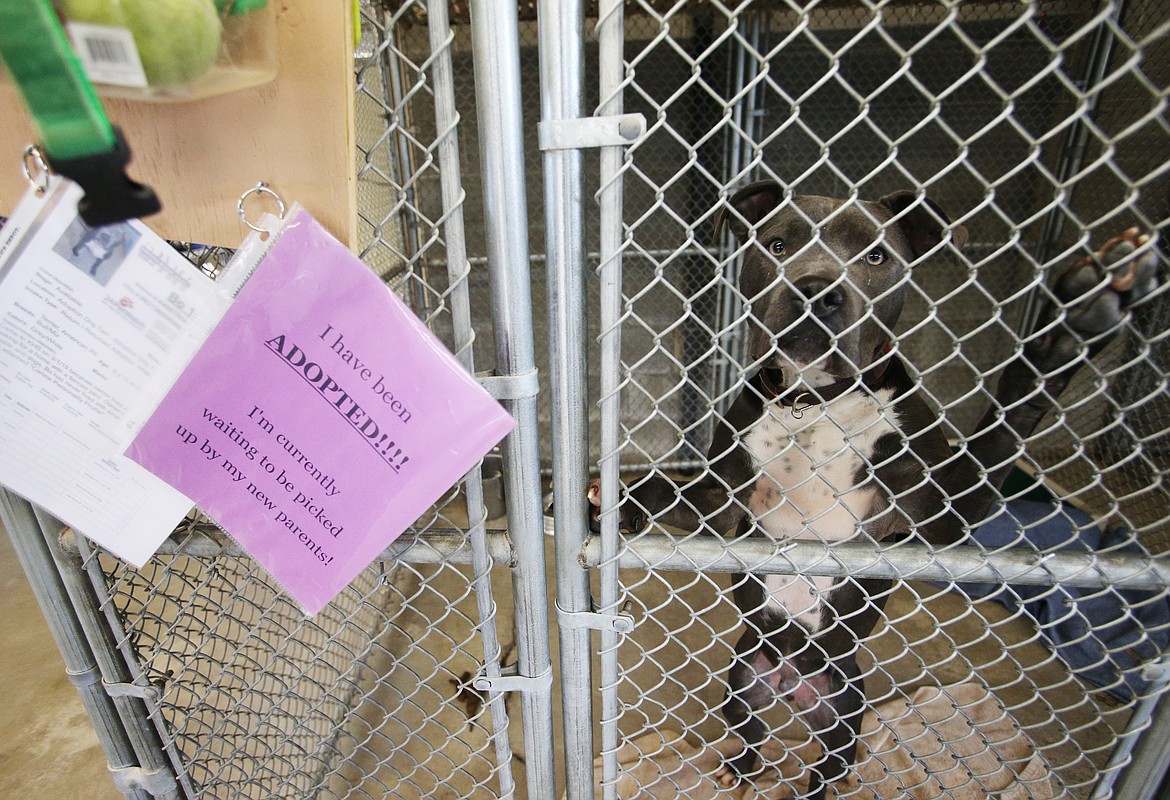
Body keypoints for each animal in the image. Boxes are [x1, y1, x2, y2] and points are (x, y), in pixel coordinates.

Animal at [585, 181, 1160, 799]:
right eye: (778, 243)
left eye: (877, 256)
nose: (817, 290)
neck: (813, 400)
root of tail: (792, 681)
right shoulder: (722, 501)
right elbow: (672, 494)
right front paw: (610, 504)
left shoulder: (939, 521)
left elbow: (998, 433)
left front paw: (1071, 329)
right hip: (743, 679)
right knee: (752, 733)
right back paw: (738, 769)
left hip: (845, 706)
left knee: (830, 763)